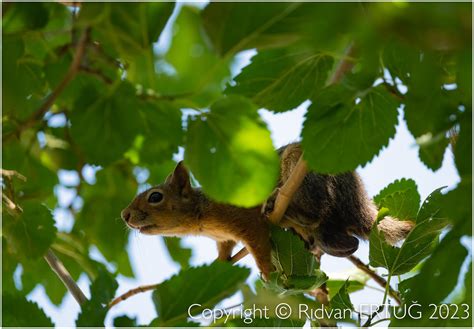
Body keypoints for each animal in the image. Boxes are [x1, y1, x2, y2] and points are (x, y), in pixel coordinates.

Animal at [120, 142, 412, 278]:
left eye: (155, 197)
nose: (124, 215)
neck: (202, 216)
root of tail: (358, 203)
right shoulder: (223, 237)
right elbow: (225, 249)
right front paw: (220, 264)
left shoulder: (247, 223)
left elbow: (259, 246)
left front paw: (268, 274)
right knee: (344, 237)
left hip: (308, 177)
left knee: (317, 211)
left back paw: (285, 210)